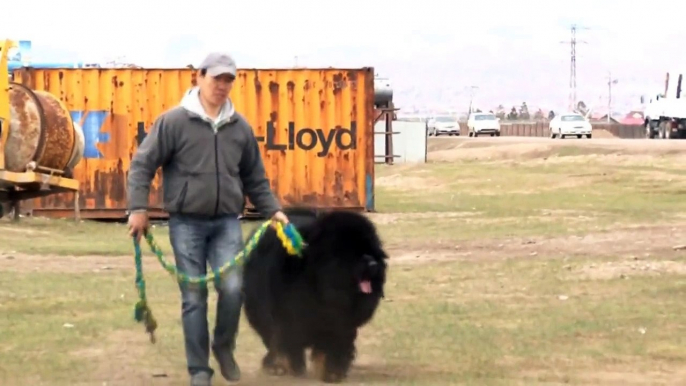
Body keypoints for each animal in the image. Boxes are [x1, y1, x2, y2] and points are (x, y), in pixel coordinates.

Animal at [245, 207, 390, 382]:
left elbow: (334, 347)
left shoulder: (340, 324)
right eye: (353, 252)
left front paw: (332, 372)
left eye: (372, 250)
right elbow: (288, 342)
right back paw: (276, 366)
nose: (374, 264)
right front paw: (294, 367)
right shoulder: (289, 317)